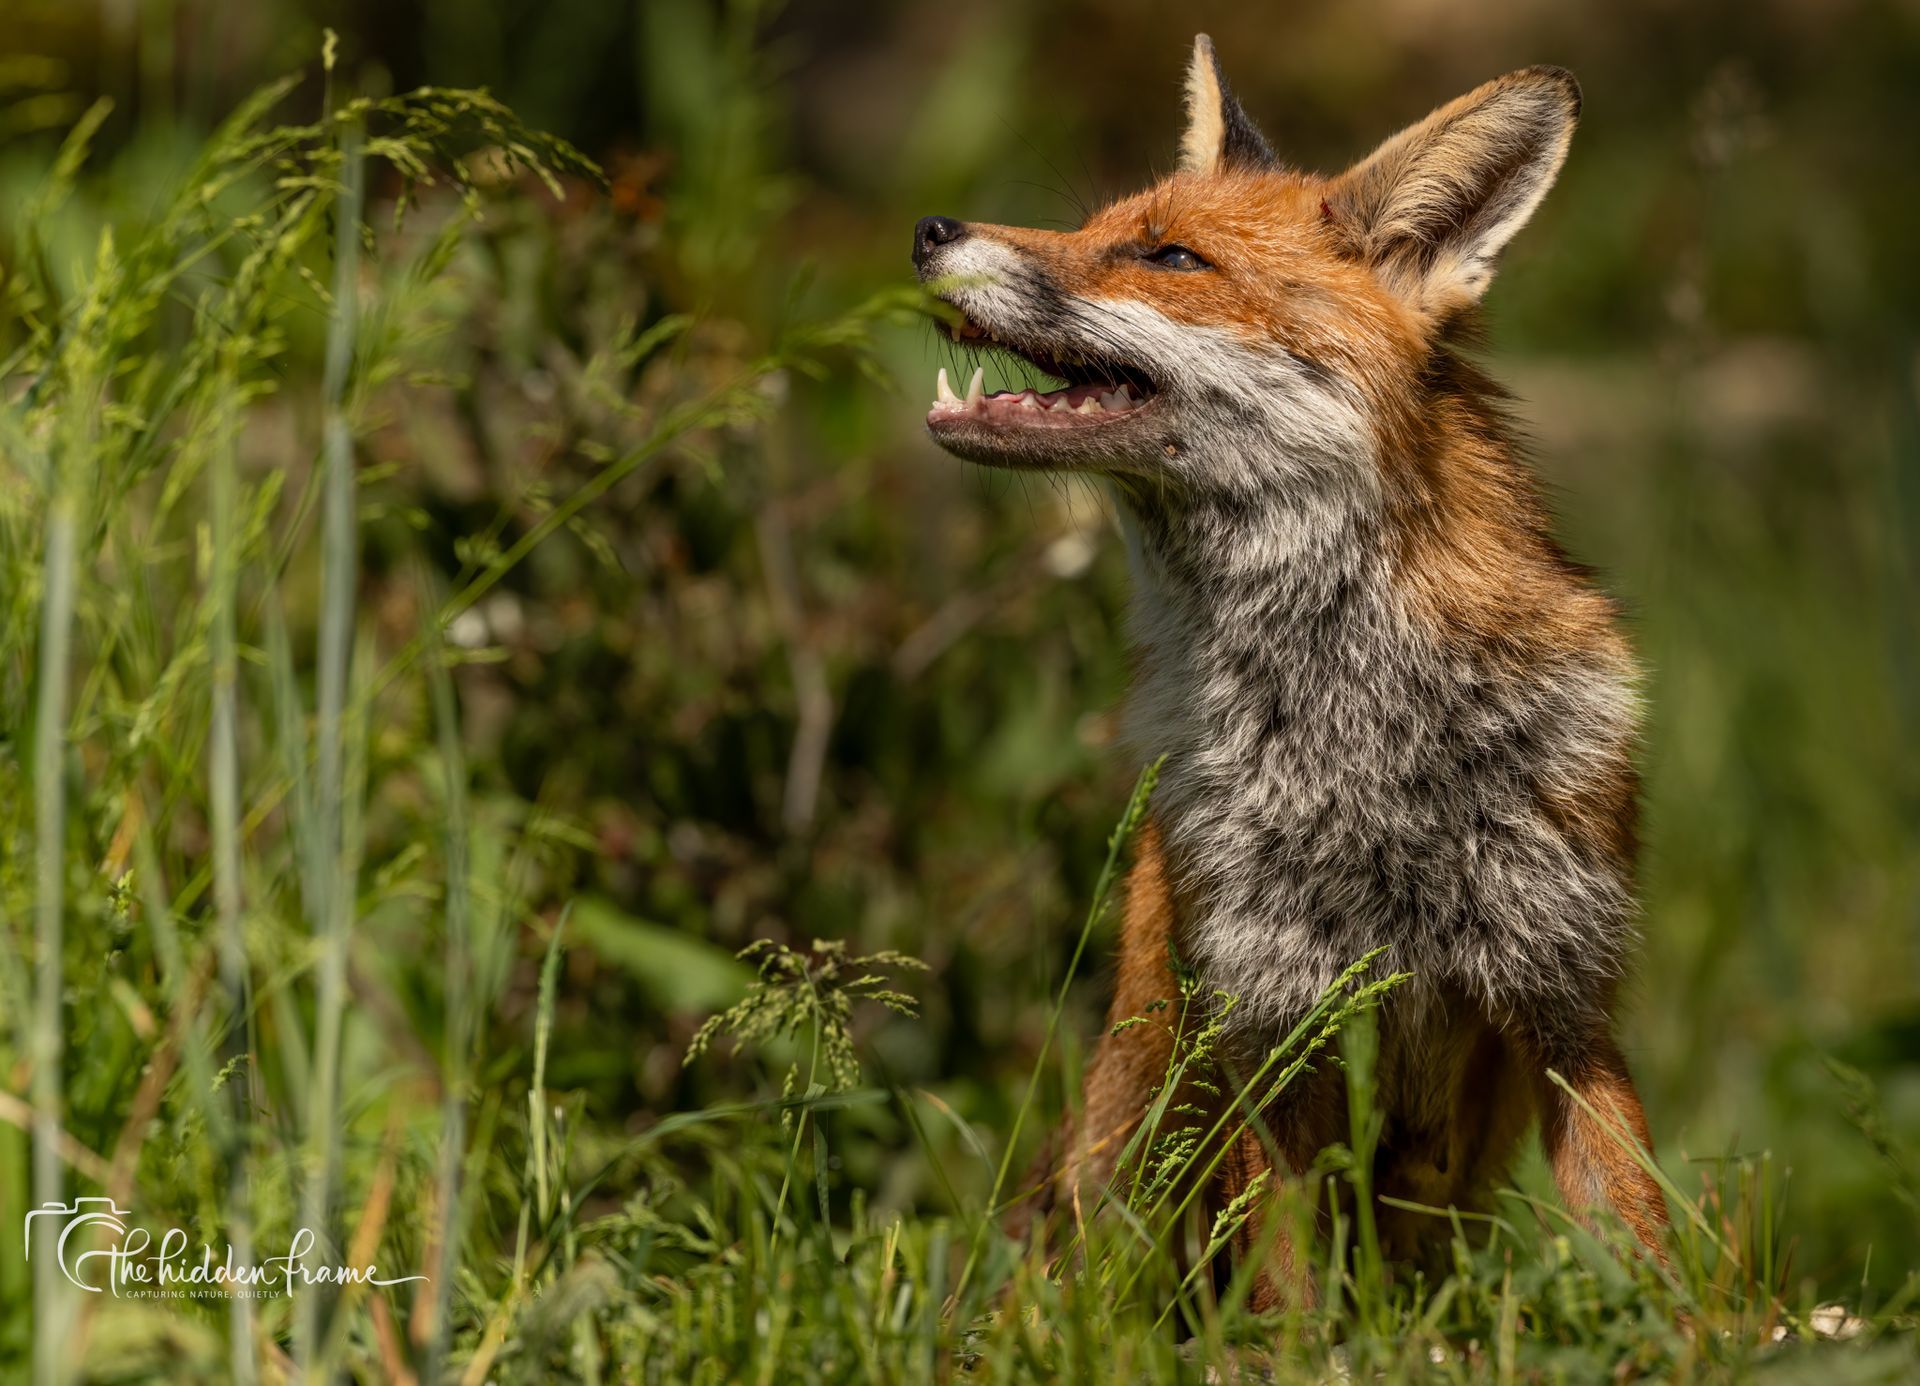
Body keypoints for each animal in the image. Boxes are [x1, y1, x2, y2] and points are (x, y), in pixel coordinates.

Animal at [912, 35, 1670, 1302]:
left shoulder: (1564, 994)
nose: (927, 227)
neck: (1358, 745)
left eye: (1170, 256)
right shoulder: (1267, 1020)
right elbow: (1291, 1308)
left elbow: (1655, 1259)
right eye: (1096, 225)